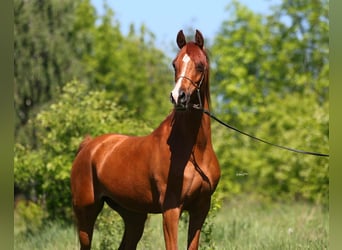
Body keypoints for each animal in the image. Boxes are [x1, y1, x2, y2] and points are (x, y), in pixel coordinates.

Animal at [71, 30, 220, 249]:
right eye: (174, 64)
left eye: (200, 65)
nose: (179, 97)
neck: (194, 151)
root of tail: (88, 146)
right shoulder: (171, 209)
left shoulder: (200, 208)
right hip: (86, 212)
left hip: (133, 215)